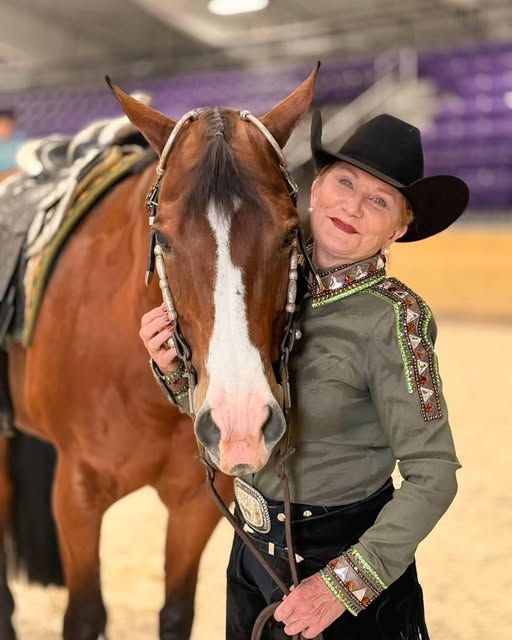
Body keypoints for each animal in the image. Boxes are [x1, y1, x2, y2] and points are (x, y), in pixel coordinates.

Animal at [0, 65, 318, 640]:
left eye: (289, 234)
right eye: (163, 239)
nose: (240, 421)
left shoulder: (197, 504)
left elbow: (176, 613)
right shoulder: (77, 496)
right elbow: (84, 615)